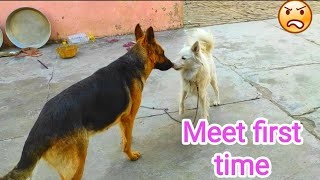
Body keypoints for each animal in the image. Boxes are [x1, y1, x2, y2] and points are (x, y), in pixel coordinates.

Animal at [1, 24, 174, 180]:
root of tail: (39, 129)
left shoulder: (122, 119)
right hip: (79, 160)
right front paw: (131, 155)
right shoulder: (128, 118)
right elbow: (128, 141)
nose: (173, 65)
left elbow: (125, 137)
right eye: (163, 53)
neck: (134, 62)